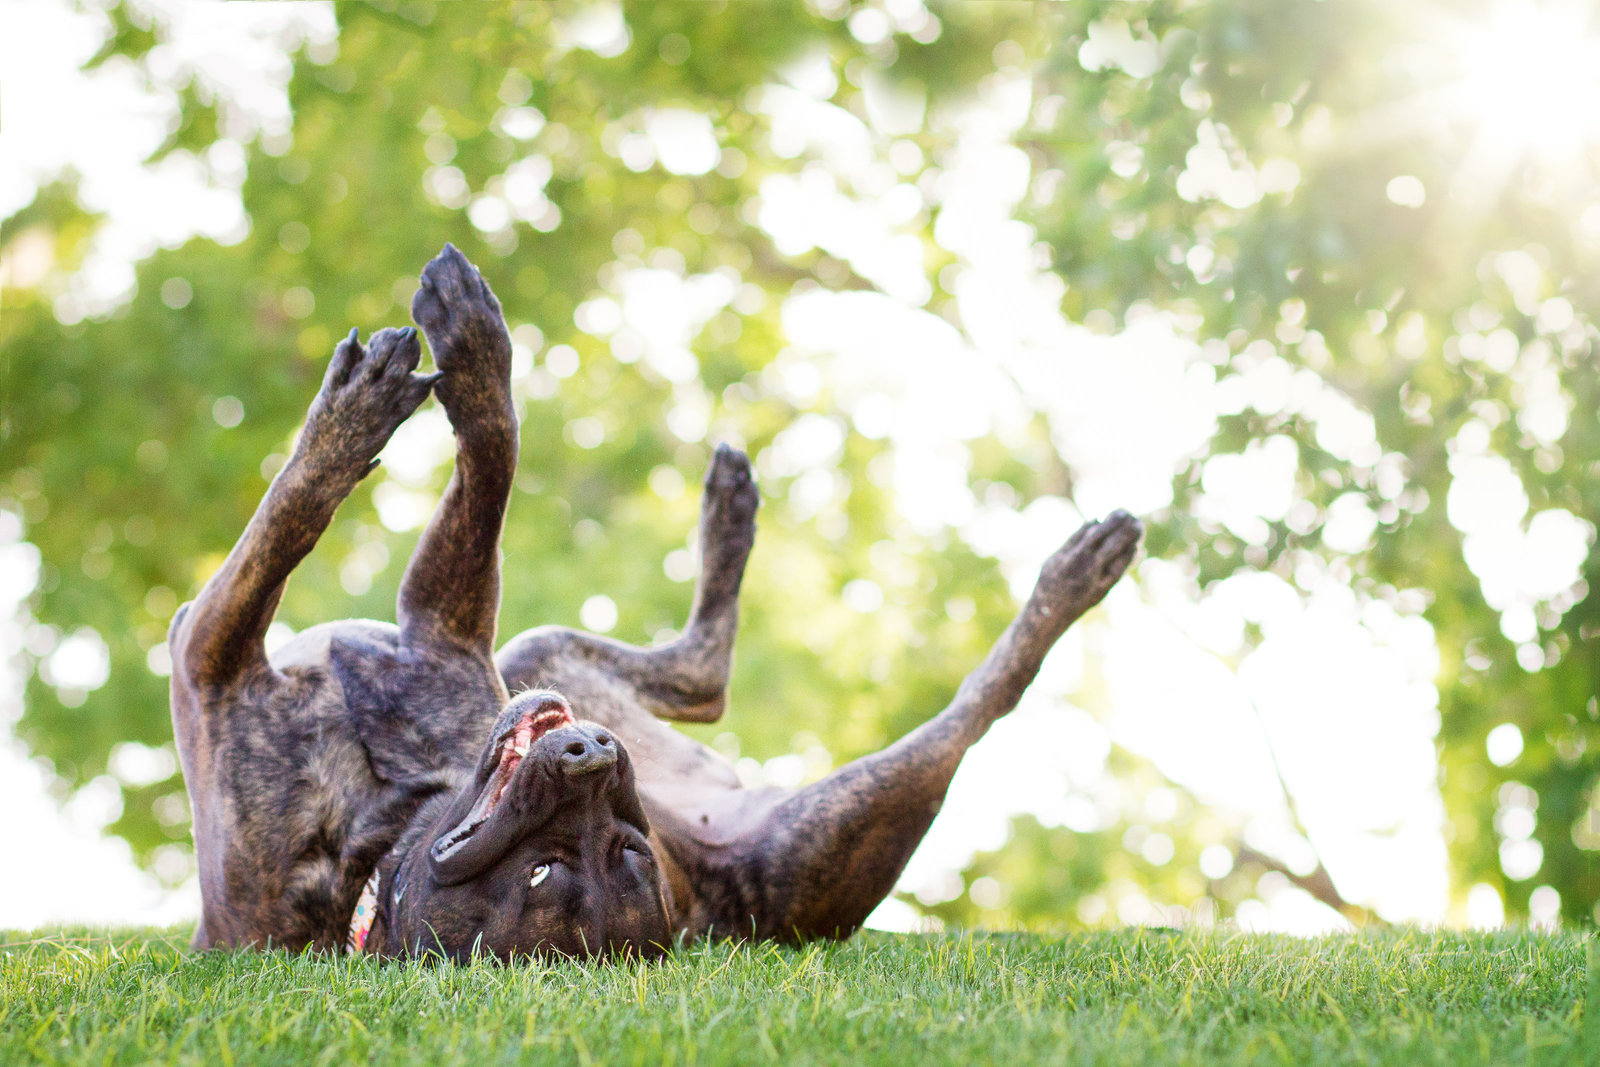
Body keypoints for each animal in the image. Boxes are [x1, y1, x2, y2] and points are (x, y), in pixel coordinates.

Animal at [168, 247, 1145, 959]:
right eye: (553, 870)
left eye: (587, 862)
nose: (593, 757)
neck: (368, 863)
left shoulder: (317, 641)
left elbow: (354, 499)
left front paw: (445, 370)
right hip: (543, 657)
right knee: (700, 676)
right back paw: (732, 514)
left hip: (852, 808)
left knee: (979, 704)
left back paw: (1074, 577)